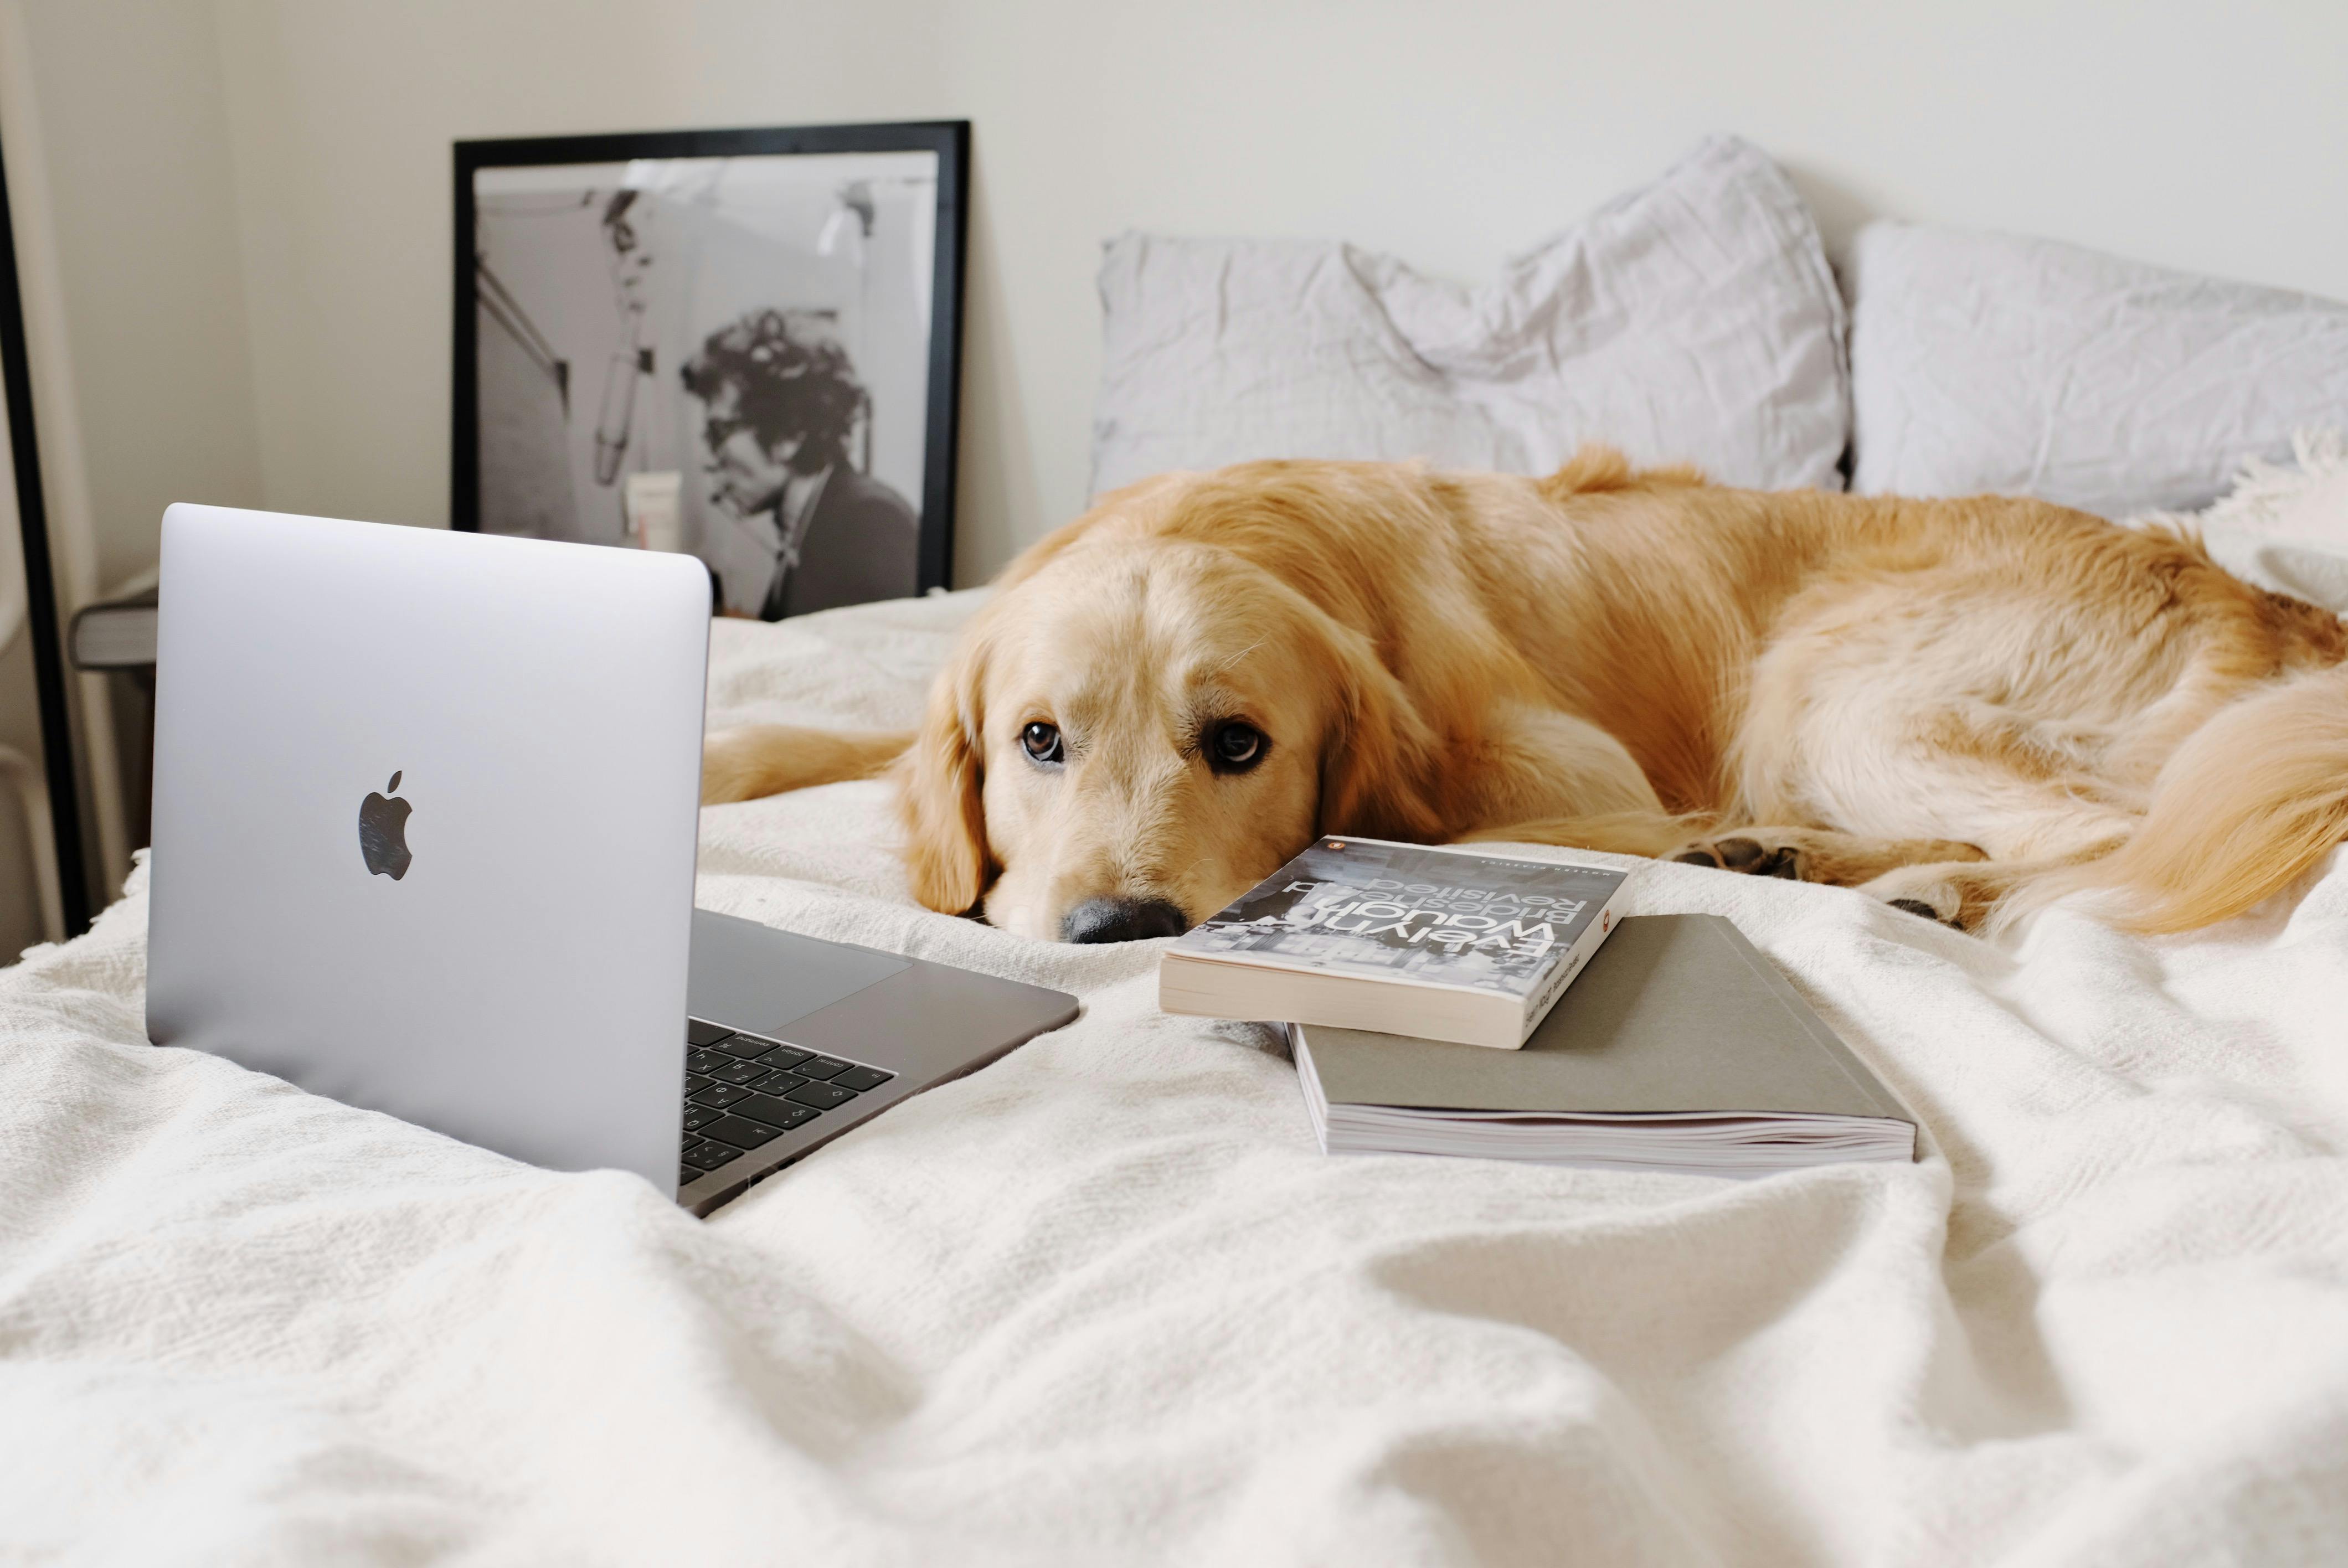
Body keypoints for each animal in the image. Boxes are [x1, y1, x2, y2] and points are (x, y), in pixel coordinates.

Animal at [695, 450, 2348, 943]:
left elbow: (1467, 825)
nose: (1116, 929)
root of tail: (2261, 592)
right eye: (1036, 742)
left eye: (1237, 744)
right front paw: (715, 752)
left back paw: (1885, 882)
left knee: (2096, 847)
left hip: (1829, 687)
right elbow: (832, 730)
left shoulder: (1566, 767)